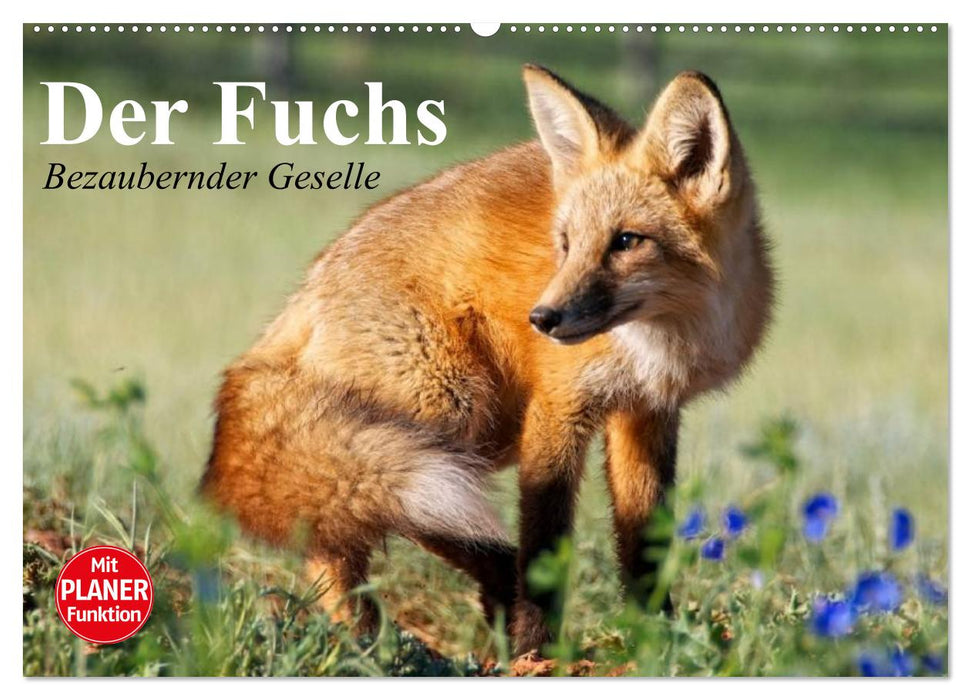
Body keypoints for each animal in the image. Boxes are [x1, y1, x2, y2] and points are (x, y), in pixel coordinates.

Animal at [200, 65, 774, 655]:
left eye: (627, 241)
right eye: (566, 243)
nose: (542, 319)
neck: (660, 343)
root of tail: (304, 293)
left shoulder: (646, 412)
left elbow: (645, 546)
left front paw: (658, 639)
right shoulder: (557, 409)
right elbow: (546, 542)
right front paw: (537, 652)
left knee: (338, 527)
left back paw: (386, 637)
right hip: (452, 415)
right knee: (353, 524)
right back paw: (382, 642)